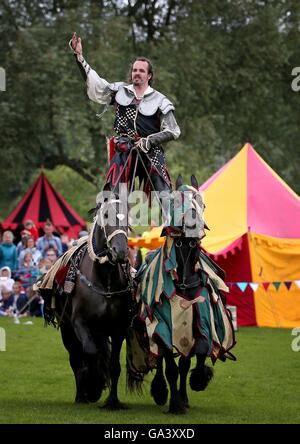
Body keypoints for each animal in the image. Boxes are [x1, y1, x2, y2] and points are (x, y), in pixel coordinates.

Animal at [39, 189, 133, 408]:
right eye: (106, 215)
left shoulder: (118, 328)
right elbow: (89, 354)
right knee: (76, 358)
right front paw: (92, 386)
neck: (105, 279)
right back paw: (81, 394)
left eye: (128, 217)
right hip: (67, 329)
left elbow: (114, 365)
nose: (120, 251)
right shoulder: (79, 322)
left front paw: (112, 401)